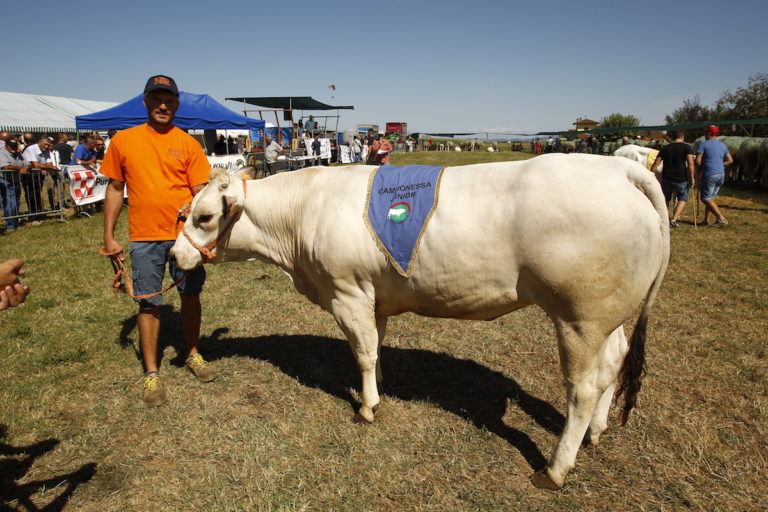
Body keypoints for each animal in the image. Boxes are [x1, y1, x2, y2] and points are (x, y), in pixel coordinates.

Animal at [171, 154, 668, 490]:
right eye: (183, 213)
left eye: (205, 216)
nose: (175, 257)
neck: (305, 214)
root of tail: (618, 169)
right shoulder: (373, 295)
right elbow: (377, 346)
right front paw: (382, 387)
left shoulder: (347, 293)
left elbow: (363, 353)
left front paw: (368, 406)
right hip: (607, 317)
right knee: (614, 365)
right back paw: (596, 433)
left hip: (578, 317)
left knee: (583, 388)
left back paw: (555, 468)